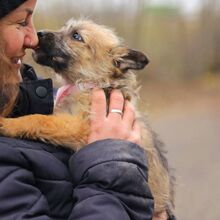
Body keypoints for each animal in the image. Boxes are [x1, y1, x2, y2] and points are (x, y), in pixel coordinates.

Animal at [0, 18, 175, 218]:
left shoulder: (79, 127)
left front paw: (9, 124)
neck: (87, 84)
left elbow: (40, 119)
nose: (39, 33)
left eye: (77, 36)